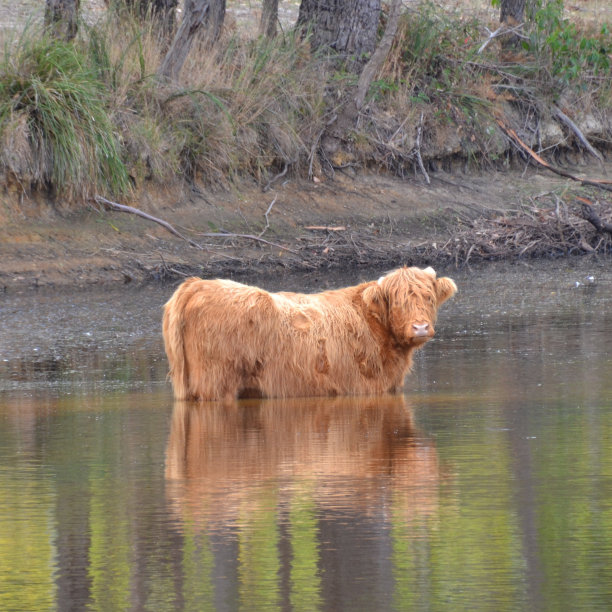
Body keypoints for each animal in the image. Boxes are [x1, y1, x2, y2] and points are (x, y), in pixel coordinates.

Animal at [160, 264, 456, 400]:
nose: (420, 327)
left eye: (429, 298)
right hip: (215, 383)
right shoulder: (364, 387)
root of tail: (196, 284)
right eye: (396, 301)